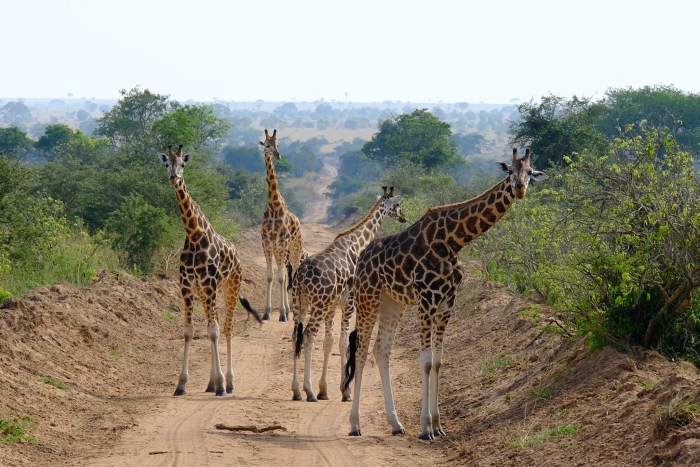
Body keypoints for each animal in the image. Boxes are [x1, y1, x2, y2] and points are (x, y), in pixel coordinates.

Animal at [159, 144, 262, 396]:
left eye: (183, 164)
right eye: (167, 164)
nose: (174, 177)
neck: (194, 235)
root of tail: (237, 252)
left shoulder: (209, 283)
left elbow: (215, 331)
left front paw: (222, 384)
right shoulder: (188, 285)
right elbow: (190, 331)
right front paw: (181, 385)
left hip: (230, 287)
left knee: (226, 328)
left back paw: (229, 382)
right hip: (207, 292)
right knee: (213, 323)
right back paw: (210, 383)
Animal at [292, 188, 408, 404]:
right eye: (397, 205)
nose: (403, 217)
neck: (357, 244)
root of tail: (301, 275)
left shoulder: (332, 305)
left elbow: (329, 342)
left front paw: (324, 390)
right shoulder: (350, 302)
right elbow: (343, 341)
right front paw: (345, 392)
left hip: (299, 303)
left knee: (296, 335)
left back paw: (296, 391)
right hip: (317, 305)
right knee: (308, 335)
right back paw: (308, 391)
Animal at [342, 149, 548, 438]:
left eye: (530, 172)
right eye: (509, 171)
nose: (519, 188)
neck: (454, 241)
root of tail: (362, 257)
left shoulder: (446, 303)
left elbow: (438, 361)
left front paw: (438, 426)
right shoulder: (426, 301)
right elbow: (425, 362)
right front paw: (425, 427)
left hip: (392, 303)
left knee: (381, 350)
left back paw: (396, 424)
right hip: (367, 298)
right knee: (360, 350)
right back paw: (355, 424)